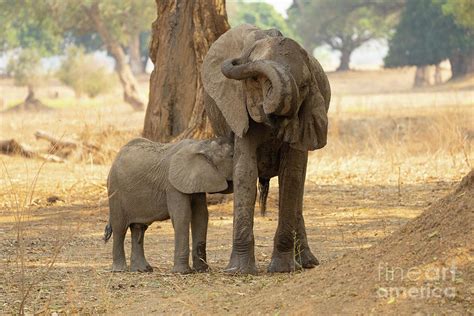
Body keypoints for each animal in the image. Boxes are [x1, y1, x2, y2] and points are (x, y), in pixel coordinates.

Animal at [105, 137, 235, 272]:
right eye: (232, 156)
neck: (203, 145)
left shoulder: (196, 181)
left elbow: (201, 216)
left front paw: (202, 270)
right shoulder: (172, 185)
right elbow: (182, 215)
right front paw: (183, 272)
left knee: (138, 228)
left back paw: (143, 270)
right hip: (116, 191)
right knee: (119, 228)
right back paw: (120, 270)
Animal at [200, 24, 330, 274]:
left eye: (304, 86)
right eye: (255, 81)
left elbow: (292, 174)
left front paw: (281, 270)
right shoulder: (240, 109)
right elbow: (245, 172)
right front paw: (239, 272)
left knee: (298, 187)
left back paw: (307, 263)